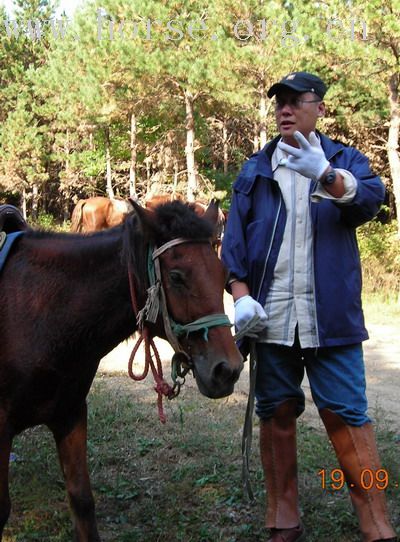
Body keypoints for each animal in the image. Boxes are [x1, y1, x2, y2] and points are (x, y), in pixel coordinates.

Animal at [0, 201, 244, 542]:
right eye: (177, 277)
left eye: (223, 275)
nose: (228, 370)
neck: (40, 314)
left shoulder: (70, 414)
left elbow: (82, 501)